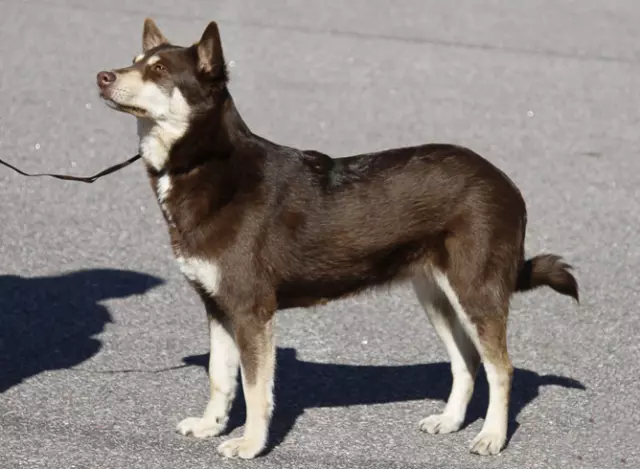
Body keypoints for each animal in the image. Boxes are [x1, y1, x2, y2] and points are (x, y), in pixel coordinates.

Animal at [95, 20, 580, 458]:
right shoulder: (217, 306)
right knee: (467, 362)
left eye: (159, 70)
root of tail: (507, 183)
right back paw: (450, 420)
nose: (102, 76)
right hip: (436, 294)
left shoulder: (251, 311)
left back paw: (492, 436)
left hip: (476, 291)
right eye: (133, 61)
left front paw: (250, 444)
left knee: (501, 368)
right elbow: (220, 377)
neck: (206, 162)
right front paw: (210, 425)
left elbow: (255, 389)